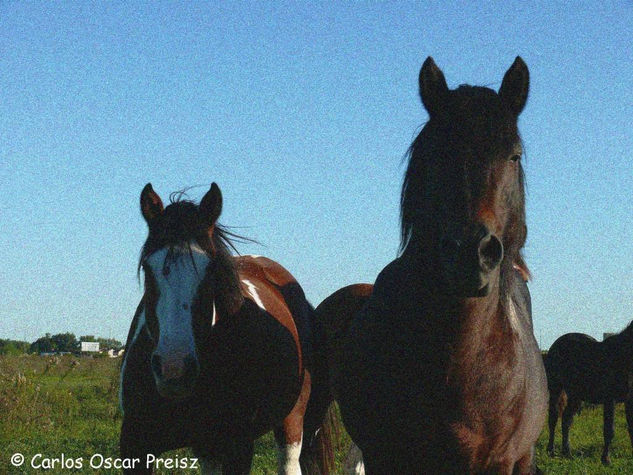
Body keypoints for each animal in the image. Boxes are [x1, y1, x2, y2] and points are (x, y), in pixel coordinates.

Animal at [119, 183, 336, 475]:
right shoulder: (135, 447)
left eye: (212, 270)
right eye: (147, 267)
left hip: (292, 421)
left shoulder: (238, 447)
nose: (174, 369)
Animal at [540, 324, 632, 464]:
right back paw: (551, 451)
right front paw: (606, 460)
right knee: (553, 417)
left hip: (575, 395)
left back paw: (567, 453)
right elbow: (609, 430)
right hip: (556, 388)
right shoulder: (610, 399)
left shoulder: (629, 400)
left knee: (566, 419)